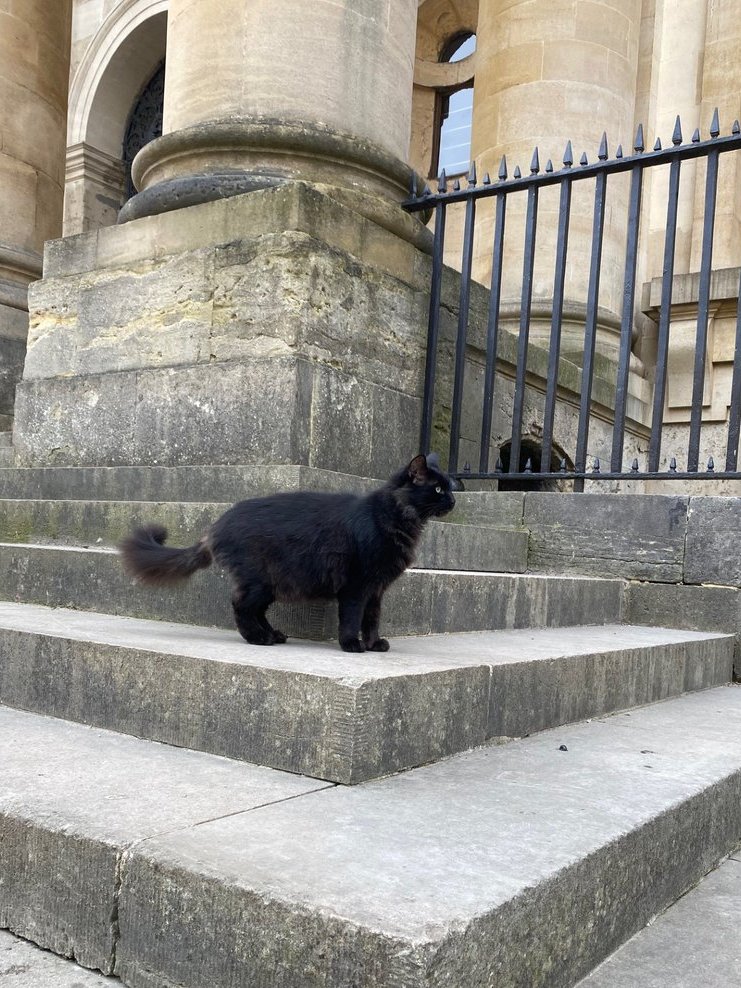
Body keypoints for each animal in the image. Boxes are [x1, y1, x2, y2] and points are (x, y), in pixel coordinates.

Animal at [120, 454, 454, 652]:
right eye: (438, 490)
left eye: (451, 487)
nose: (452, 501)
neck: (395, 517)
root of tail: (218, 523)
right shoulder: (357, 586)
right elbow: (351, 619)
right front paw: (352, 645)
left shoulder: (376, 589)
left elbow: (371, 619)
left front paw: (373, 644)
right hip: (259, 580)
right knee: (240, 607)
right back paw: (258, 639)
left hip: (272, 584)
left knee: (256, 611)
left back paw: (273, 635)